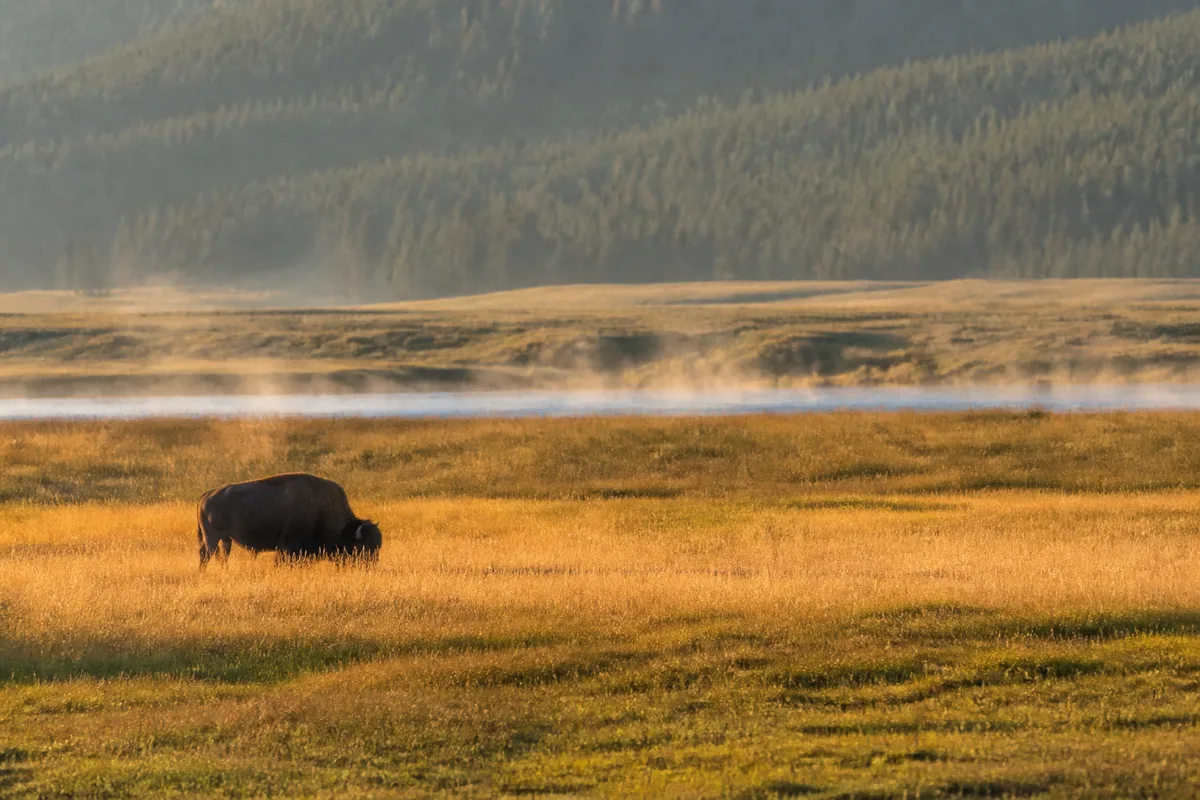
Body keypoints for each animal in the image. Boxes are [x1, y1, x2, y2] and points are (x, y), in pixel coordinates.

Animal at [197, 473, 381, 568]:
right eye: (363, 547)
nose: (371, 567)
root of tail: (207, 494)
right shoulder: (288, 547)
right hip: (212, 538)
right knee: (206, 555)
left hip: (225, 539)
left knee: (222, 557)